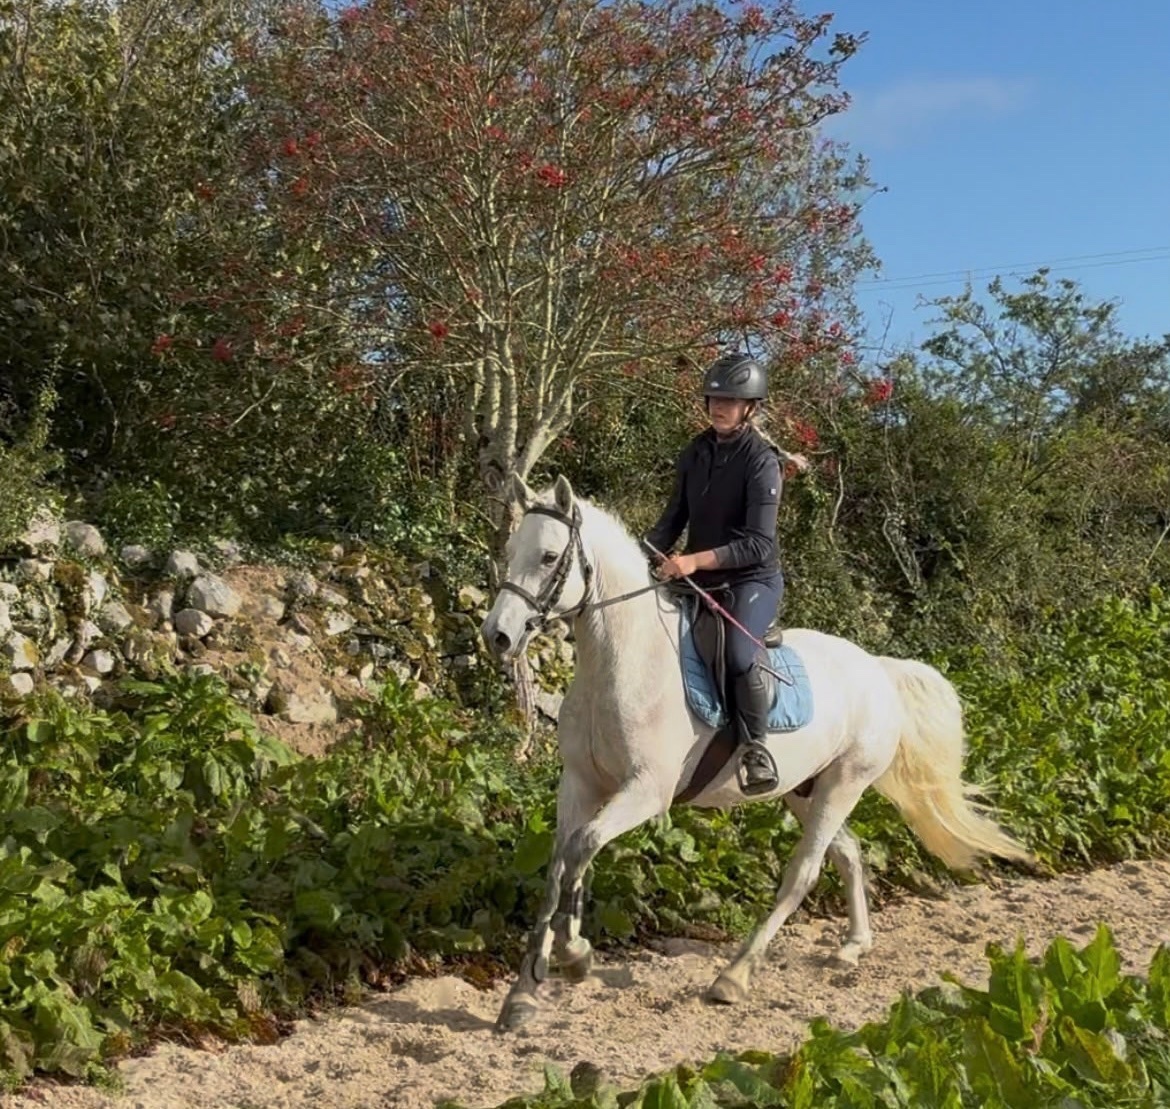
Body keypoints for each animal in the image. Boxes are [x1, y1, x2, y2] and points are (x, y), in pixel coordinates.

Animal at [480, 473, 1032, 1031]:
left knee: (803, 873)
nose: (497, 636)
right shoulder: (582, 783)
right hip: (804, 790)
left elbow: (583, 847)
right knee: (848, 852)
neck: (624, 665)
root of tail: (877, 668)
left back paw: (735, 975)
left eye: (550, 556)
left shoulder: (646, 792)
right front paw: (524, 993)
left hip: (844, 784)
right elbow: (562, 864)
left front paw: (574, 956)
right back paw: (852, 946)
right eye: (510, 549)